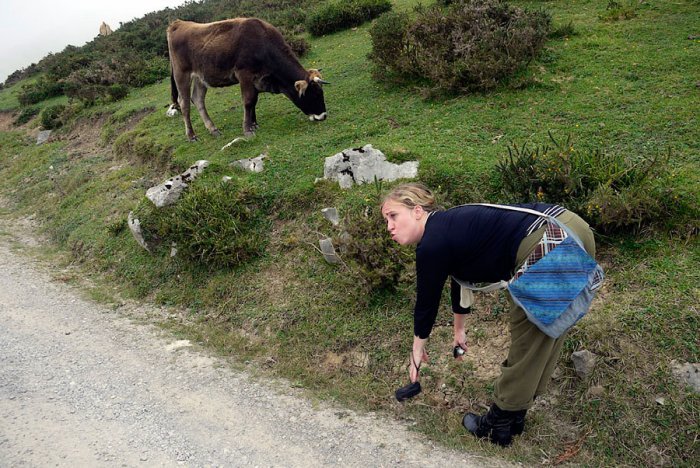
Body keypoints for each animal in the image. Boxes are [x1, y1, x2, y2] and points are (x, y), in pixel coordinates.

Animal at [167, 17, 328, 141]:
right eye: (315, 94)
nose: (324, 116)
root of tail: (178, 23)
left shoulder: (256, 79)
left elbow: (254, 100)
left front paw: (254, 123)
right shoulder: (244, 74)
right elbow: (248, 101)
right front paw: (248, 129)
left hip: (201, 77)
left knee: (198, 99)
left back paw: (213, 129)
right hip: (181, 74)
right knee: (184, 103)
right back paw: (191, 135)